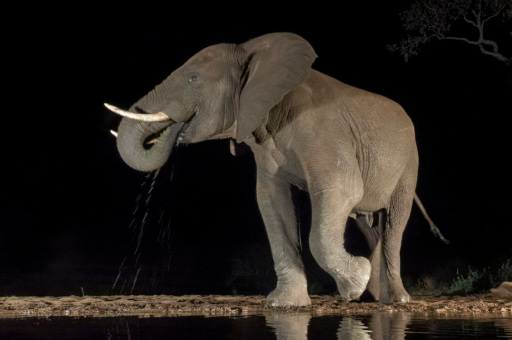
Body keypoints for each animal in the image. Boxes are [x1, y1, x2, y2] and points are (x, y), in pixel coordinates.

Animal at [106, 33, 418, 306]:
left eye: (193, 80)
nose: (174, 130)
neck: (253, 53)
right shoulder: (266, 147)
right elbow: (271, 201)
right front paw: (285, 304)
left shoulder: (325, 132)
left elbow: (341, 191)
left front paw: (354, 285)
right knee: (369, 225)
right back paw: (373, 296)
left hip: (409, 165)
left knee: (394, 223)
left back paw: (395, 299)